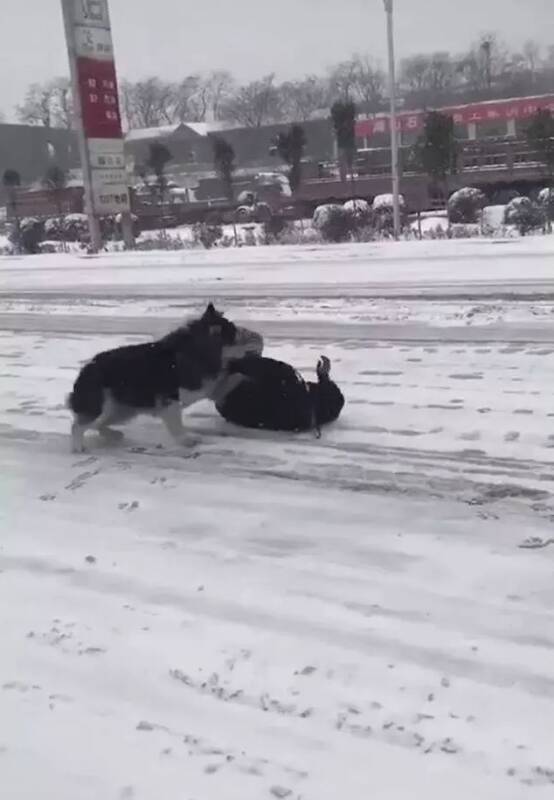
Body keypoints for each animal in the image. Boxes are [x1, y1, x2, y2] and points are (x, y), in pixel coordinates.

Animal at [67, 302, 264, 454]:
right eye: (238, 336)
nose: (258, 337)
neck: (197, 351)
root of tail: (85, 369)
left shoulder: (200, 387)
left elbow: (220, 384)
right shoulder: (172, 400)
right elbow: (177, 425)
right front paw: (186, 440)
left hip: (122, 410)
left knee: (98, 425)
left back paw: (114, 435)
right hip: (102, 407)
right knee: (79, 426)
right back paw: (78, 447)